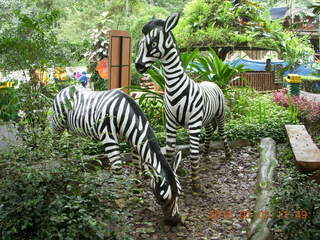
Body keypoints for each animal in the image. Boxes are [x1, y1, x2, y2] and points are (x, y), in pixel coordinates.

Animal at [51, 86, 184, 225]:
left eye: (180, 194)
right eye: (162, 198)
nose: (176, 221)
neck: (124, 113)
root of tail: (66, 88)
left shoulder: (134, 142)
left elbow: (137, 168)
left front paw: (137, 194)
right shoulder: (108, 138)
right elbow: (117, 168)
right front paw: (119, 200)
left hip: (74, 129)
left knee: (74, 148)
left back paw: (75, 168)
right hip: (58, 123)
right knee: (53, 143)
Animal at [134, 13, 231, 193]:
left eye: (153, 43)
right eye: (140, 44)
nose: (138, 66)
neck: (173, 86)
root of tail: (211, 81)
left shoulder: (193, 123)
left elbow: (192, 153)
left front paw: (196, 183)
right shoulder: (170, 123)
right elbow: (170, 150)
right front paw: (171, 175)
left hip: (219, 114)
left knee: (221, 132)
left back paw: (228, 155)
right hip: (206, 118)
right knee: (209, 131)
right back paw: (205, 155)